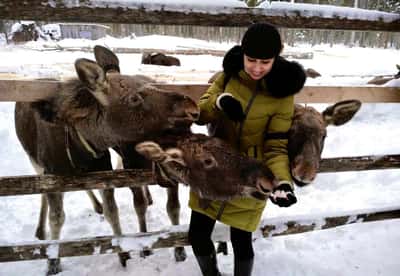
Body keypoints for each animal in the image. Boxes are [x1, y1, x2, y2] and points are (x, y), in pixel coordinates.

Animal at [14, 45, 200, 274]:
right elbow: (57, 219)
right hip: (37, 165)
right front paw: (52, 262)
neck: (79, 144)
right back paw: (41, 230)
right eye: (134, 98)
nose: (191, 107)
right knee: (43, 195)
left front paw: (176, 251)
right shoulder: (56, 176)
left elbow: (164, 209)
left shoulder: (105, 172)